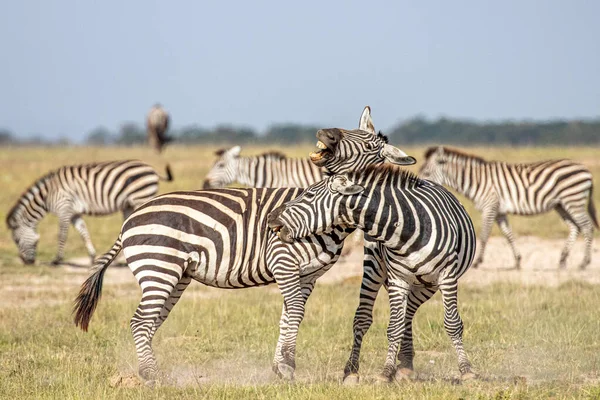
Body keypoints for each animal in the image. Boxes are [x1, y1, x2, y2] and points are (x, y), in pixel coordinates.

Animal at [5, 159, 172, 266]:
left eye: (17, 240)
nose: (27, 262)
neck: (47, 194)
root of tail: (152, 170)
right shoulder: (74, 213)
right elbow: (83, 232)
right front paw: (92, 257)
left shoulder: (64, 208)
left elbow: (62, 234)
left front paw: (57, 260)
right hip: (129, 204)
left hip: (142, 196)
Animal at [268, 164, 478, 382]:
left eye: (309, 194)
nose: (270, 217)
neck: (406, 229)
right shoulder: (397, 279)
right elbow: (394, 327)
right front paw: (386, 372)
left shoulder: (447, 276)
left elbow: (452, 323)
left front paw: (467, 371)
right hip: (375, 268)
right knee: (366, 318)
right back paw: (356, 370)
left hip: (428, 285)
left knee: (409, 313)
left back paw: (406, 364)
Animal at [420, 148, 596, 272]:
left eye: (426, 172)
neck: (476, 180)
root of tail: (586, 170)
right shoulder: (500, 212)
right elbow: (508, 235)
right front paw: (517, 261)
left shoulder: (490, 206)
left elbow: (484, 235)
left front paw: (477, 261)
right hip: (561, 205)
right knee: (575, 227)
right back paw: (563, 260)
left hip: (573, 200)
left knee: (587, 227)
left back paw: (584, 262)